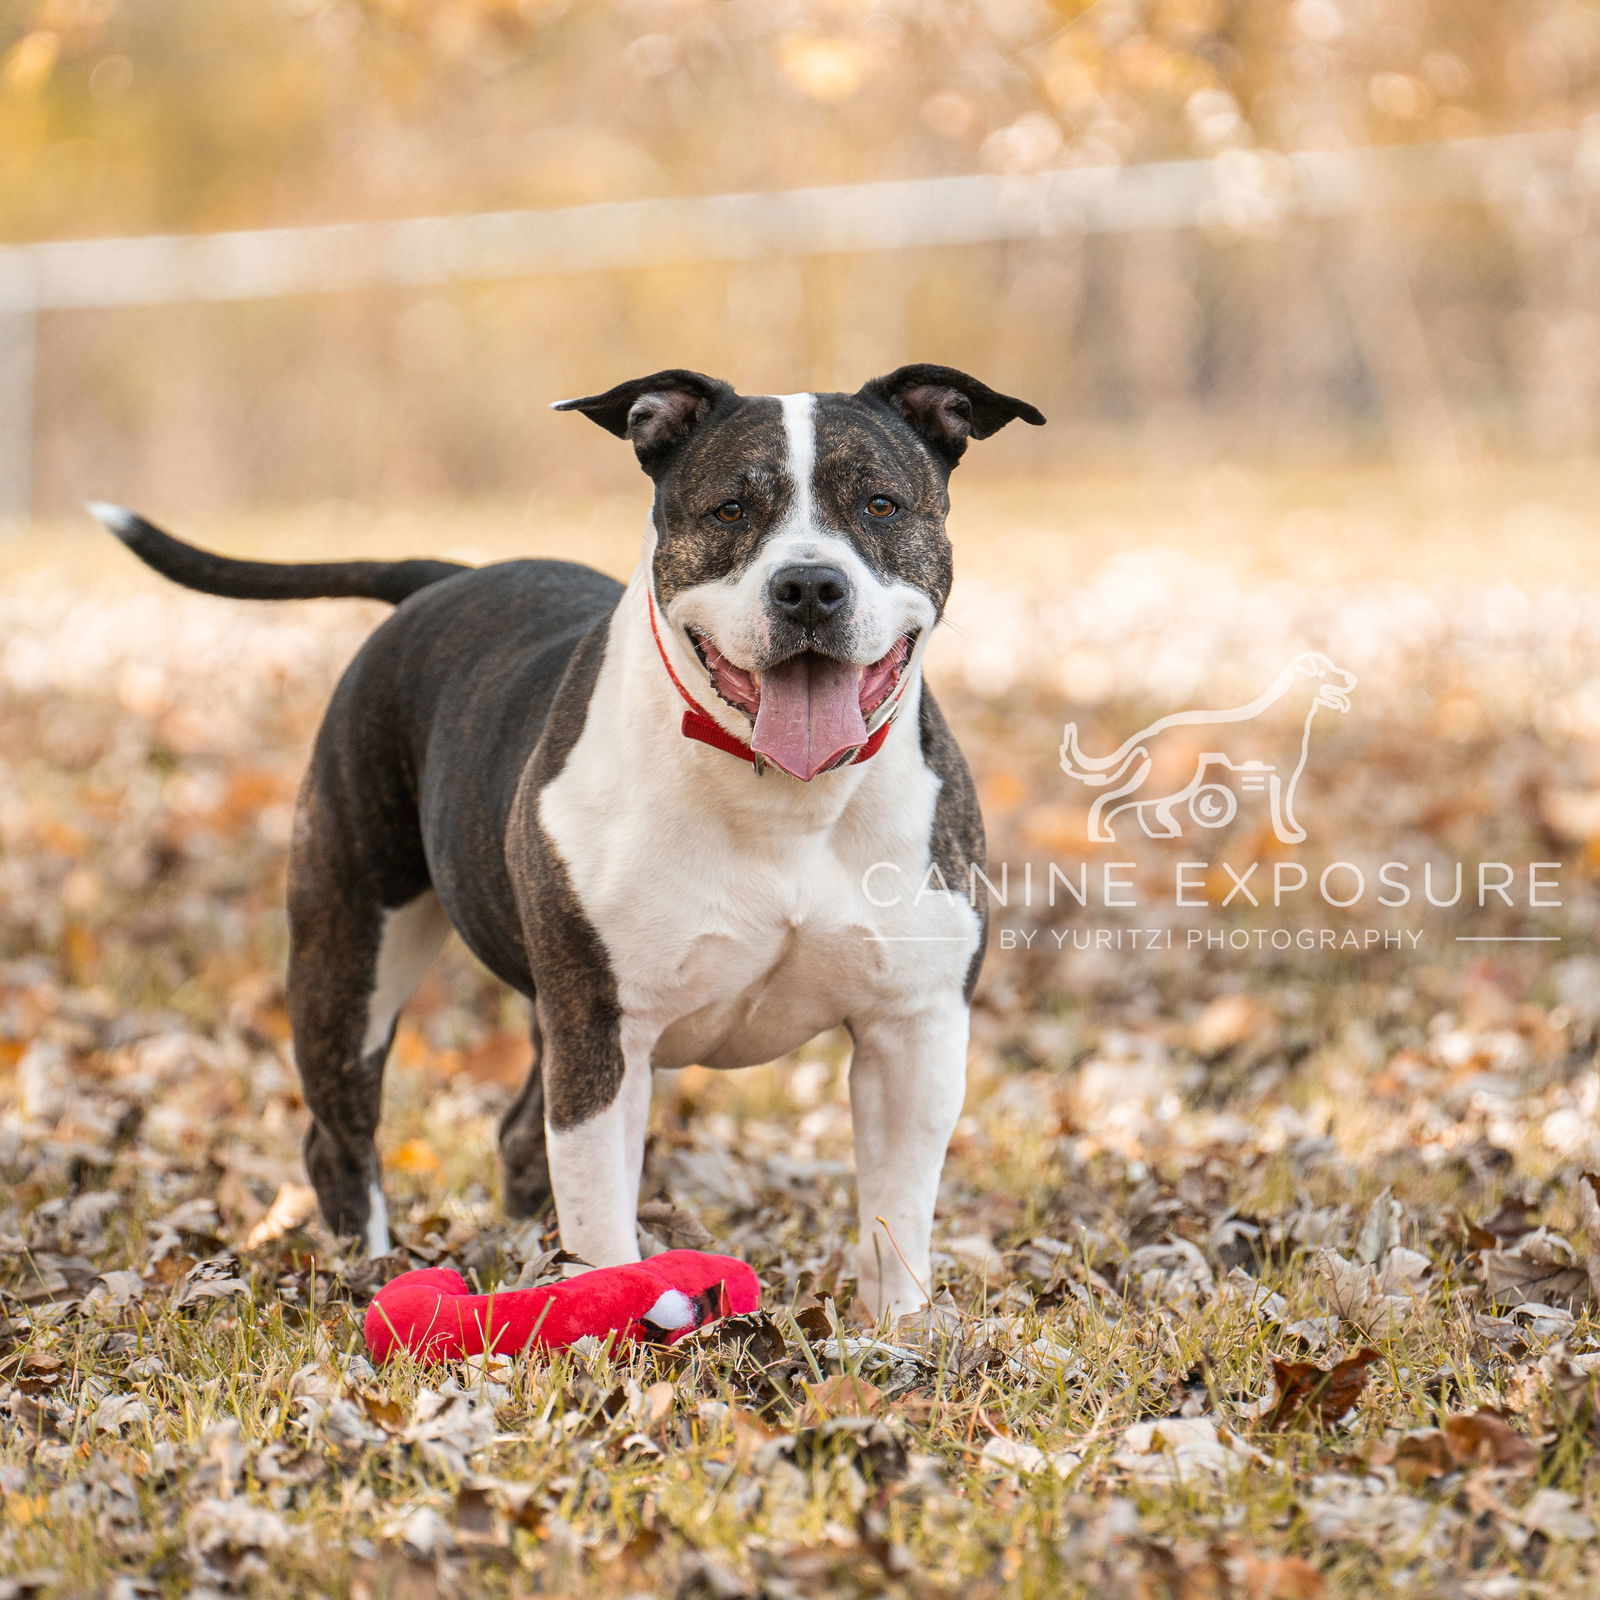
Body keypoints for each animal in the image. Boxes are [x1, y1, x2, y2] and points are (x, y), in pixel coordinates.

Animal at [100, 368, 1049, 1318]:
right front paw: (623, 1324)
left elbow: (897, 1214)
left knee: (519, 1133)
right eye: (732, 509)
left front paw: (899, 1335)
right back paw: (368, 1268)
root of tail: (446, 580)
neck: (784, 796)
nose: (810, 585)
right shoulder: (601, 1032)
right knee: (342, 1134)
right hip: (350, 954)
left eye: (881, 505)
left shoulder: (912, 1031)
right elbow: (603, 1218)